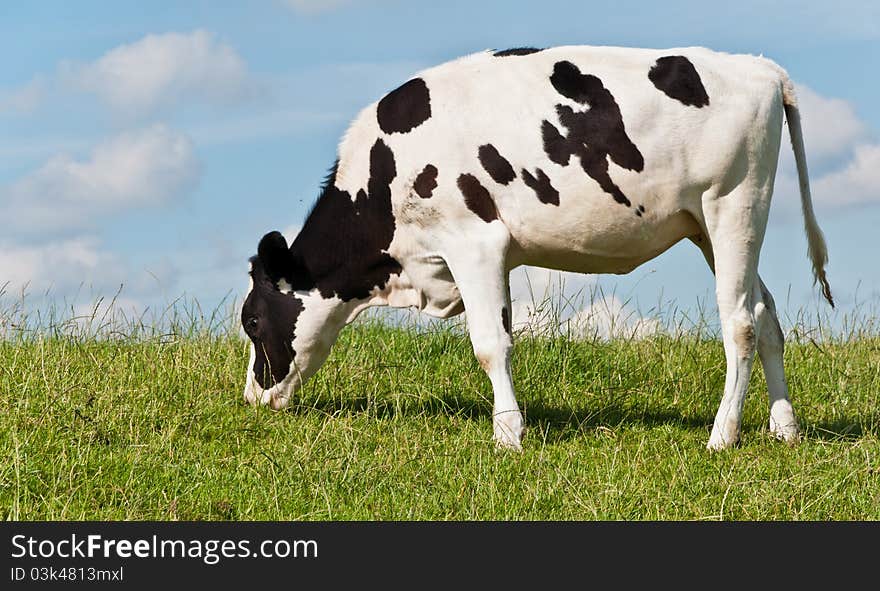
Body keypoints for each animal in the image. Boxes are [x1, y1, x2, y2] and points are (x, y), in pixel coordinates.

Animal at [239, 45, 832, 454]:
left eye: (252, 321)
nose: (251, 397)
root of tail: (758, 69)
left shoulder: (473, 241)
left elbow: (488, 345)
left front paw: (507, 436)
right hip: (708, 226)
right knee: (767, 315)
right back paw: (785, 428)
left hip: (733, 206)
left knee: (741, 323)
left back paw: (722, 435)